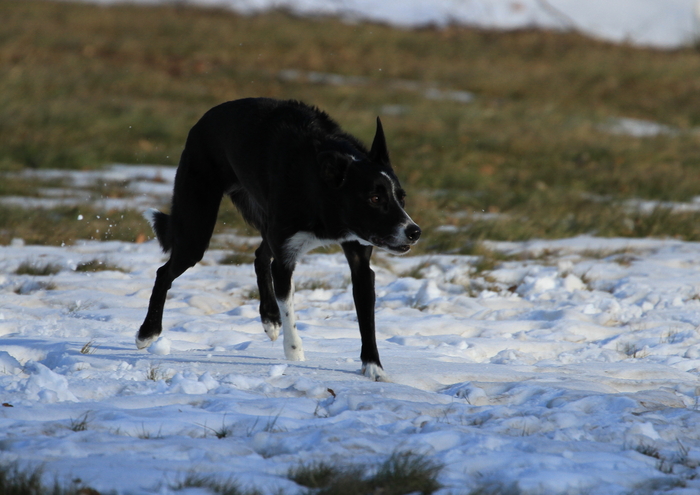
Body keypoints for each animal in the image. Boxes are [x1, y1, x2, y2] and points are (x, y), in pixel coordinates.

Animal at [137, 99, 422, 382]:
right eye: (375, 198)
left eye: (401, 197)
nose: (414, 231)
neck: (320, 187)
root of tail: (203, 119)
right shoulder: (286, 258)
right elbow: (290, 309)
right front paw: (295, 354)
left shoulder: (359, 259)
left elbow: (366, 319)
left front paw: (374, 369)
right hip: (196, 231)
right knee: (164, 273)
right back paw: (148, 332)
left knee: (260, 256)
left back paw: (269, 318)